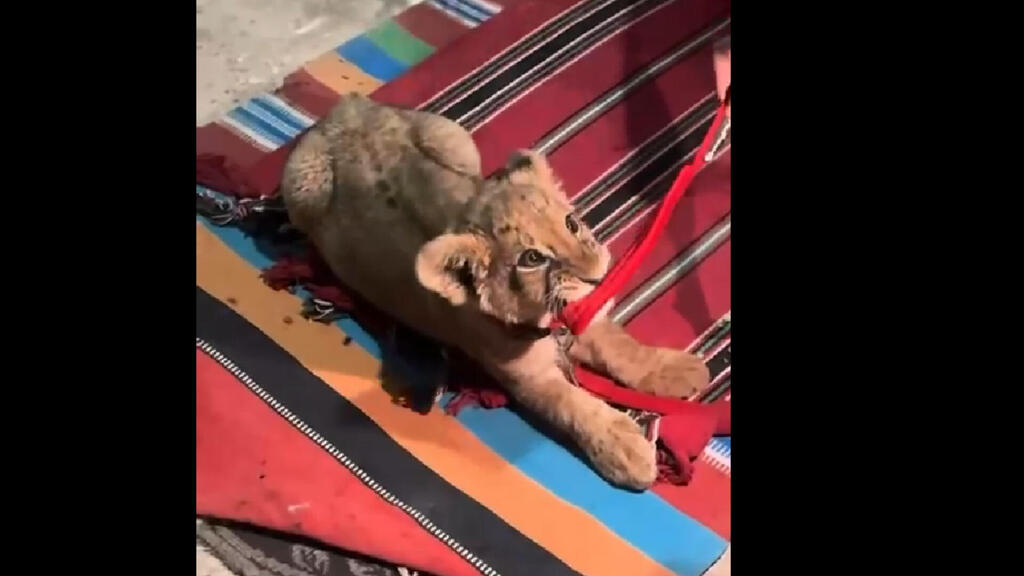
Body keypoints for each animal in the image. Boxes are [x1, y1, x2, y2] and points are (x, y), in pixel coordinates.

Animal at [281, 93, 709, 490]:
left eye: (571, 223)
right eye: (532, 258)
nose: (595, 276)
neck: (548, 317)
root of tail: (345, 108)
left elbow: (618, 346)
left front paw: (679, 371)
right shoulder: (528, 377)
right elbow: (574, 405)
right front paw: (627, 450)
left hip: (453, 138)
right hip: (305, 187)